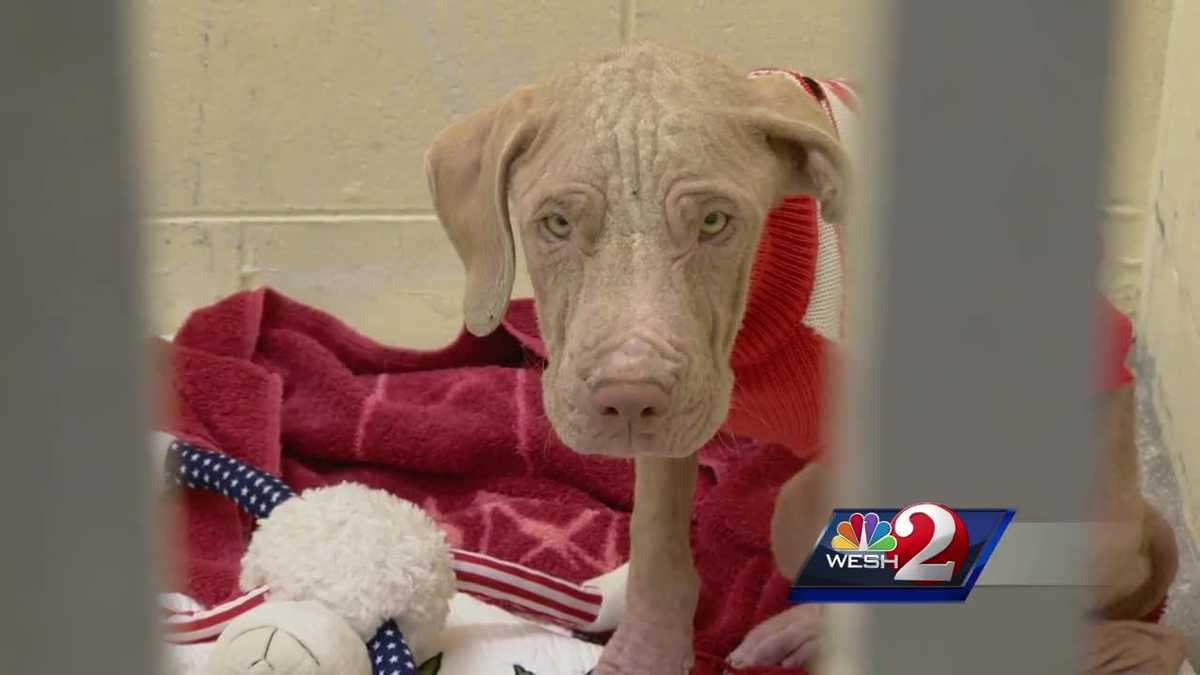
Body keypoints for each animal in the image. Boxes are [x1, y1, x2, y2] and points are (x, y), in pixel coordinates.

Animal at [422, 43, 1180, 672]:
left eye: (715, 222)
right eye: (555, 223)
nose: (629, 396)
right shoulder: (677, 415)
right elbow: (658, 542)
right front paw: (643, 653)